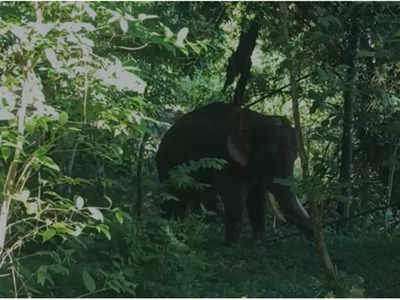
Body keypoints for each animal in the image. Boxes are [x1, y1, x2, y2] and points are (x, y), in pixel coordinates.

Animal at [156, 102, 312, 244]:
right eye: (270, 157)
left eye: (295, 157)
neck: (255, 118)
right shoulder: (222, 158)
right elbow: (234, 197)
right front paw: (231, 244)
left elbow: (257, 197)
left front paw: (258, 240)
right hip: (171, 166)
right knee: (175, 196)